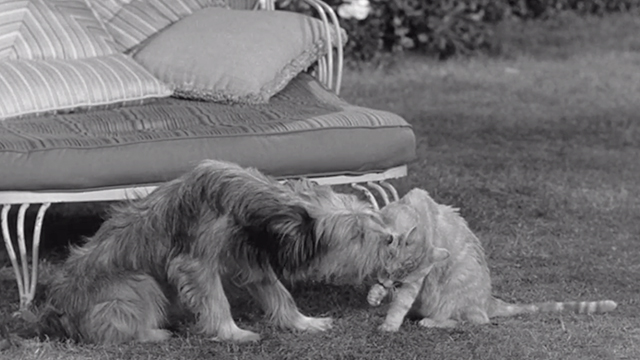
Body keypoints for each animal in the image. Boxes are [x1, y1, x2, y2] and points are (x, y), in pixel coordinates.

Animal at [40, 160, 396, 344]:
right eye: (357, 233)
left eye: (369, 217)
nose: (392, 238)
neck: (248, 203)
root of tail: (56, 313)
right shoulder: (195, 263)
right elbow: (216, 300)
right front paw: (232, 333)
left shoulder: (251, 261)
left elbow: (280, 294)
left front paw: (303, 323)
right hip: (139, 282)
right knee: (115, 331)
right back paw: (155, 333)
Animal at [368, 188, 616, 332]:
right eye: (390, 275)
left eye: (399, 281)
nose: (388, 284)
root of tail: (489, 299)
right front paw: (376, 294)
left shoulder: (415, 283)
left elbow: (401, 303)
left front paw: (389, 325)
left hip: (453, 296)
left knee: (470, 320)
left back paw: (430, 321)